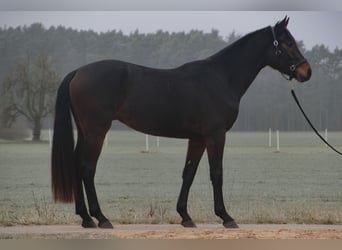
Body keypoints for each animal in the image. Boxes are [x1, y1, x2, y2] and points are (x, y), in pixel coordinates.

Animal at [51, 17, 312, 229]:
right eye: (287, 43)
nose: (306, 72)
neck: (221, 77)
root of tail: (78, 72)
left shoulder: (197, 138)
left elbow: (189, 173)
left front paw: (185, 216)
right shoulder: (216, 135)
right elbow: (216, 173)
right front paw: (226, 217)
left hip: (85, 131)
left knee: (77, 165)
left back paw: (86, 218)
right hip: (97, 131)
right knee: (87, 168)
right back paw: (101, 218)